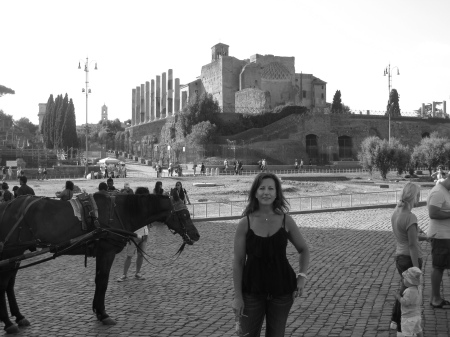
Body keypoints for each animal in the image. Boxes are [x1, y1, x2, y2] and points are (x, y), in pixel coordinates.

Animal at [0, 192, 199, 334]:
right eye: (184, 214)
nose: (196, 235)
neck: (120, 212)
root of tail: (8, 205)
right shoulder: (107, 252)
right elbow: (103, 282)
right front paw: (103, 314)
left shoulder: (101, 253)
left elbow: (98, 281)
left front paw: (97, 310)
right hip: (12, 252)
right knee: (4, 284)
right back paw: (9, 323)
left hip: (17, 254)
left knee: (9, 284)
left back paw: (19, 317)